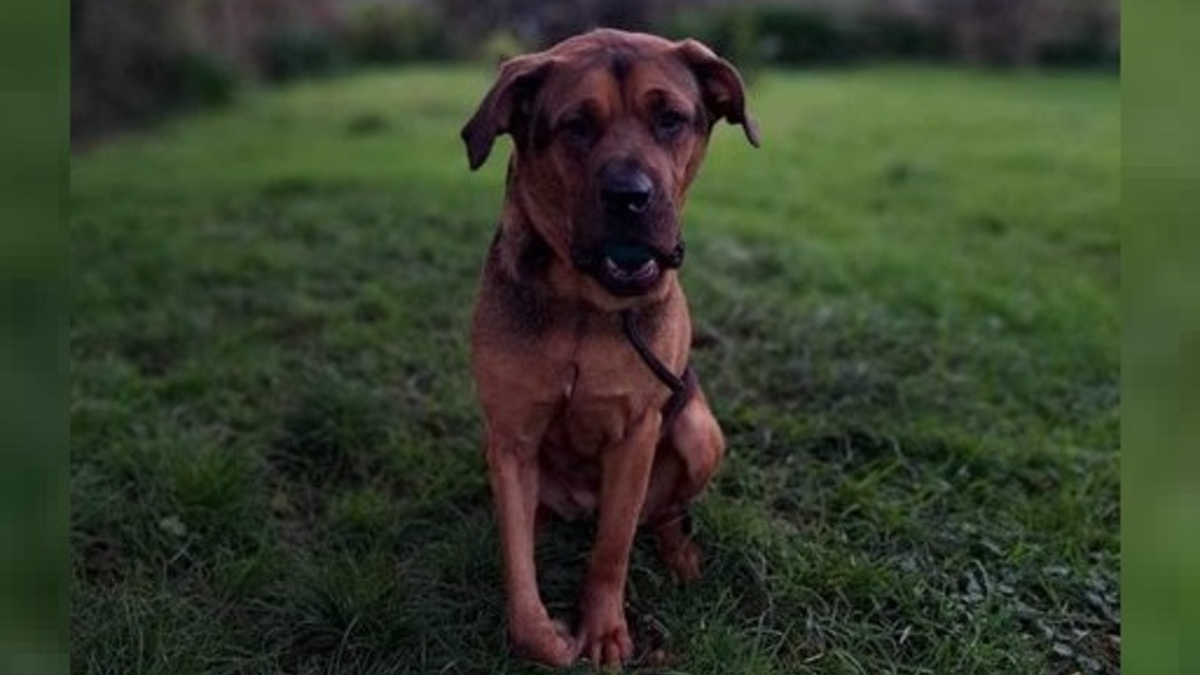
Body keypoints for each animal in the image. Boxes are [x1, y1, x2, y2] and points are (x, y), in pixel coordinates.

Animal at [460, 28, 758, 662]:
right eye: (575, 124)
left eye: (670, 119)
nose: (629, 197)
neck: (584, 302)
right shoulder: (511, 438)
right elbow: (518, 571)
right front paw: (549, 637)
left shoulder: (636, 431)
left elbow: (613, 546)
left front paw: (602, 631)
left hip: (701, 431)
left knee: (664, 511)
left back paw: (680, 554)